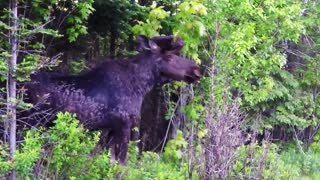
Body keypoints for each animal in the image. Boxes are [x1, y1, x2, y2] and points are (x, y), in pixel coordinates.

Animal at [23, 35, 201, 165]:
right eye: (170, 56)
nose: (196, 70)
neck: (141, 86)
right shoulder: (124, 125)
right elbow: (121, 164)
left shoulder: (109, 129)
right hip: (31, 120)